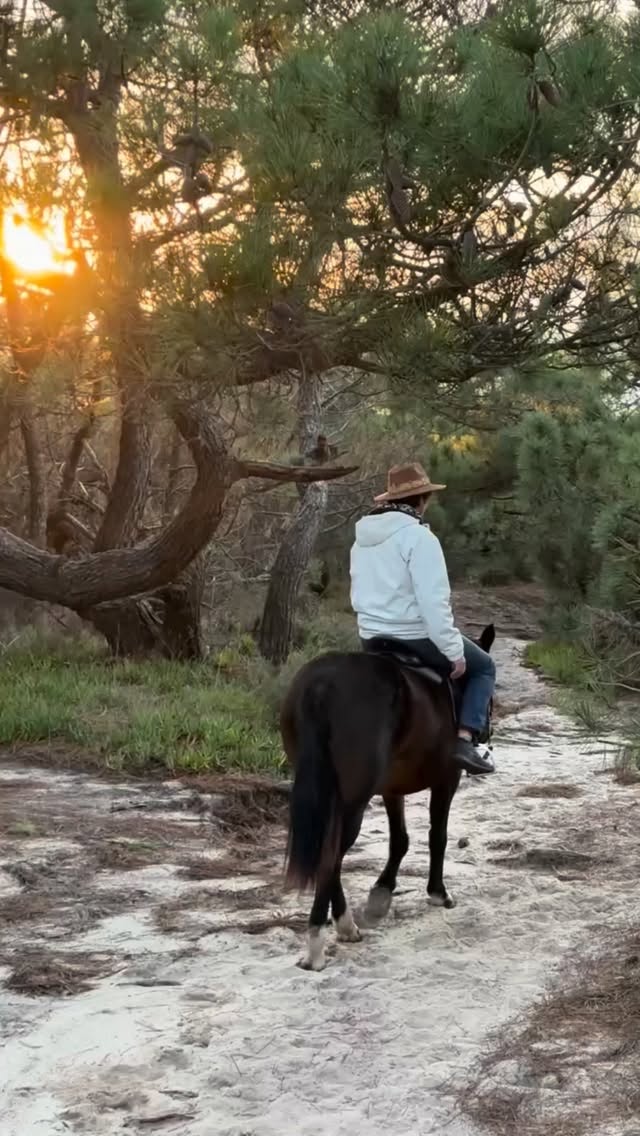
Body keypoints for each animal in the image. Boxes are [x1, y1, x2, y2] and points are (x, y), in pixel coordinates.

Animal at [280, 624, 495, 970]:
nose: (485, 733)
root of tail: (322, 684)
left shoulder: (393, 788)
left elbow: (400, 840)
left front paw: (382, 891)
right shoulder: (447, 781)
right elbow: (438, 837)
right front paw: (438, 892)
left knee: (330, 854)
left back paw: (345, 925)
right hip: (354, 800)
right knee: (330, 856)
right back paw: (317, 946)